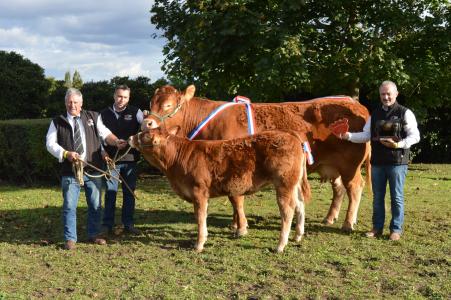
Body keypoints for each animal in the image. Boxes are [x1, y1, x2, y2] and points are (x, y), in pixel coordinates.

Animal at [128, 127, 310, 252]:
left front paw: (199, 244)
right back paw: (297, 236)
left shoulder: (199, 192)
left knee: (288, 210)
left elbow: (200, 217)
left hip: (284, 183)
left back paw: (280, 245)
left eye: (146, 134)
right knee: (300, 205)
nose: (130, 137)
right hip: (294, 184)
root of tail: (291, 135)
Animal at [142, 84, 370, 234]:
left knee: (355, 187)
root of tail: (354, 103)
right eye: (151, 103)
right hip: (333, 165)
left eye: (168, 105)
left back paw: (348, 223)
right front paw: (235, 223)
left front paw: (241, 227)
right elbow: (233, 198)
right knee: (339, 188)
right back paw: (330, 218)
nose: (147, 123)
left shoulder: (235, 166)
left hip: (350, 164)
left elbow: (236, 198)